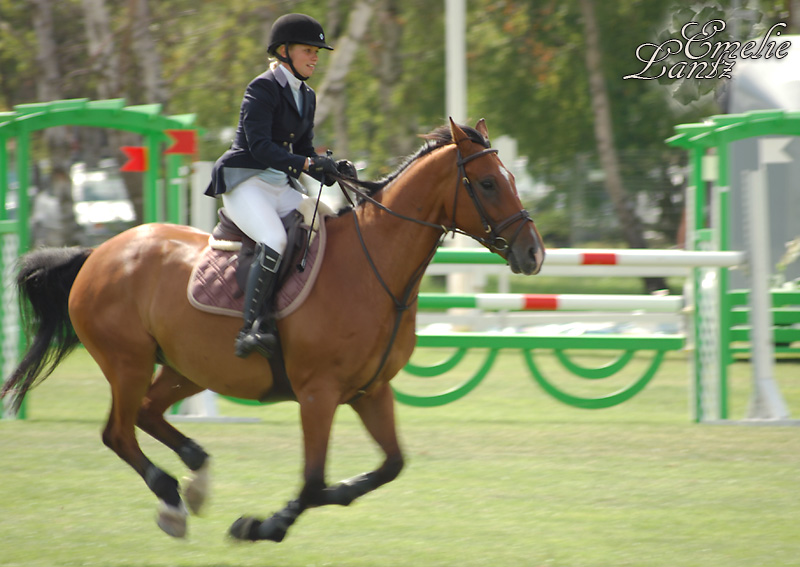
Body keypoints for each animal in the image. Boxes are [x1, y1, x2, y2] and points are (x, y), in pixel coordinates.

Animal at [0, 118, 548, 540]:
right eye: (487, 184)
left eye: (510, 177)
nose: (534, 254)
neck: (374, 269)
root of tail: (100, 253)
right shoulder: (319, 394)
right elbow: (312, 482)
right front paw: (264, 526)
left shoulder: (371, 391)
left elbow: (387, 467)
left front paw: (307, 505)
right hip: (127, 363)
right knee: (118, 431)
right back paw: (174, 498)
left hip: (185, 367)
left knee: (148, 414)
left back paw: (195, 476)